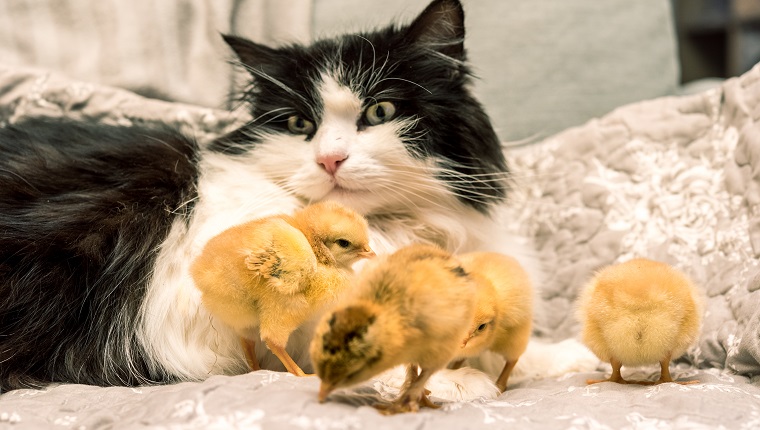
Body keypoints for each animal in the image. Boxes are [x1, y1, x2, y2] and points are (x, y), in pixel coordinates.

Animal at [0, 0, 588, 396]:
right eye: (300, 124)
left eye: (380, 111)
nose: (330, 159)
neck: (382, 229)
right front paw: (451, 382)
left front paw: (565, 354)